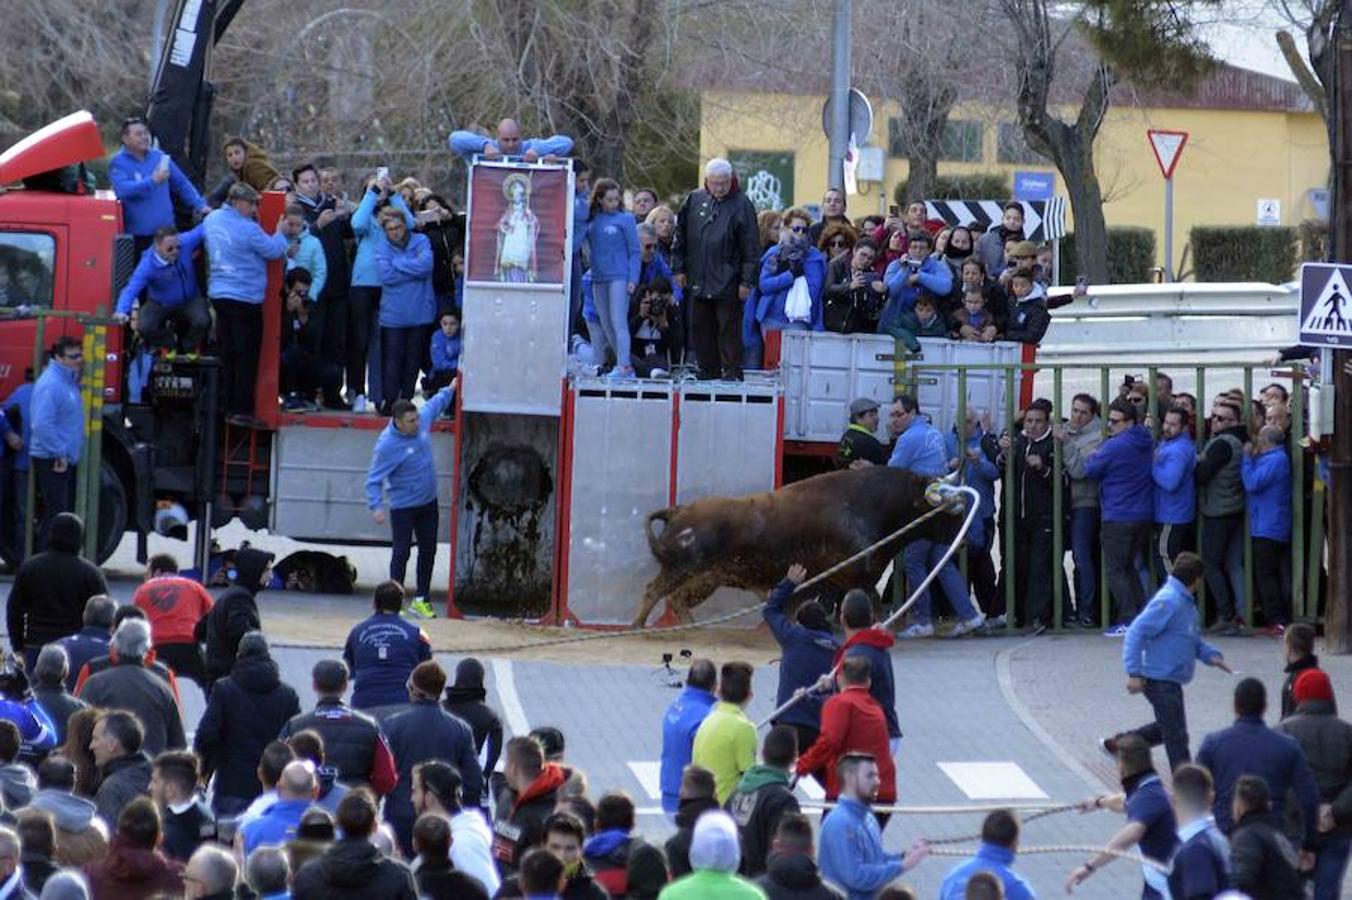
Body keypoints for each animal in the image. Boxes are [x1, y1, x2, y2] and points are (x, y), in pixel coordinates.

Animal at [632, 462, 962, 624]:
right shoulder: (861, 577)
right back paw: (639, 627)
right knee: (653, 591)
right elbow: (873, 606)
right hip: (682, 569)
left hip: (706, 578)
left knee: (677, 599)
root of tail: (678, 511)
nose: (959, 534)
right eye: (946, 510)